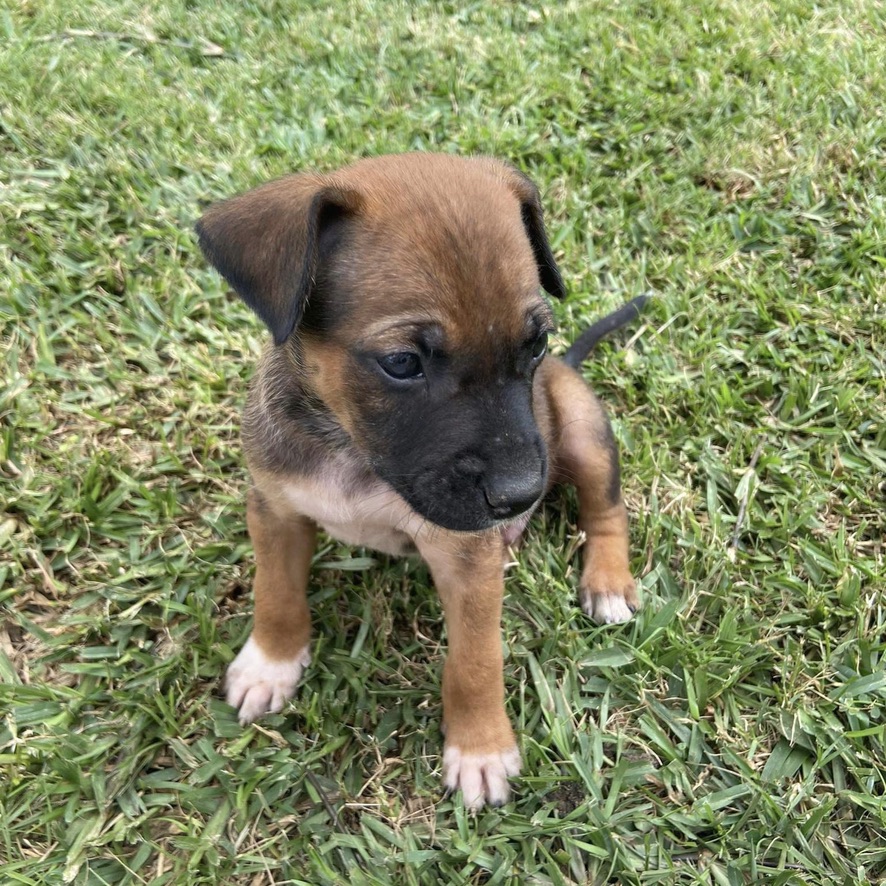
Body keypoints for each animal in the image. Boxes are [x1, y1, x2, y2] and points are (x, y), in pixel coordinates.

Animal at [198, 154, 644, 812]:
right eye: (402, 363)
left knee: (607, 508)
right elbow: (275, 592)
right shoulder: (275, 510)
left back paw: (608, 580)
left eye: (536, 341)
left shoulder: (465, 558)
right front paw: (270, 663)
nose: (520, 497)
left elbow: (476, 661)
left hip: (580, 429)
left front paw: (480, 747)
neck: (352, 449)